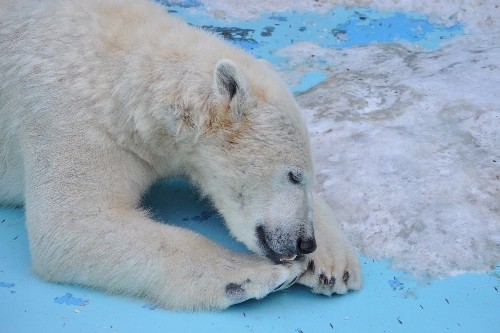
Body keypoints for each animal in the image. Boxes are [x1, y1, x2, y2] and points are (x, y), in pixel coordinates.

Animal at [0, 0, 360, 308]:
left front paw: (333, 266)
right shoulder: (70, 117)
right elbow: (73, 222)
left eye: (308, 179)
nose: (305, 243)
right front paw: (256, 273)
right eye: (293, 175)